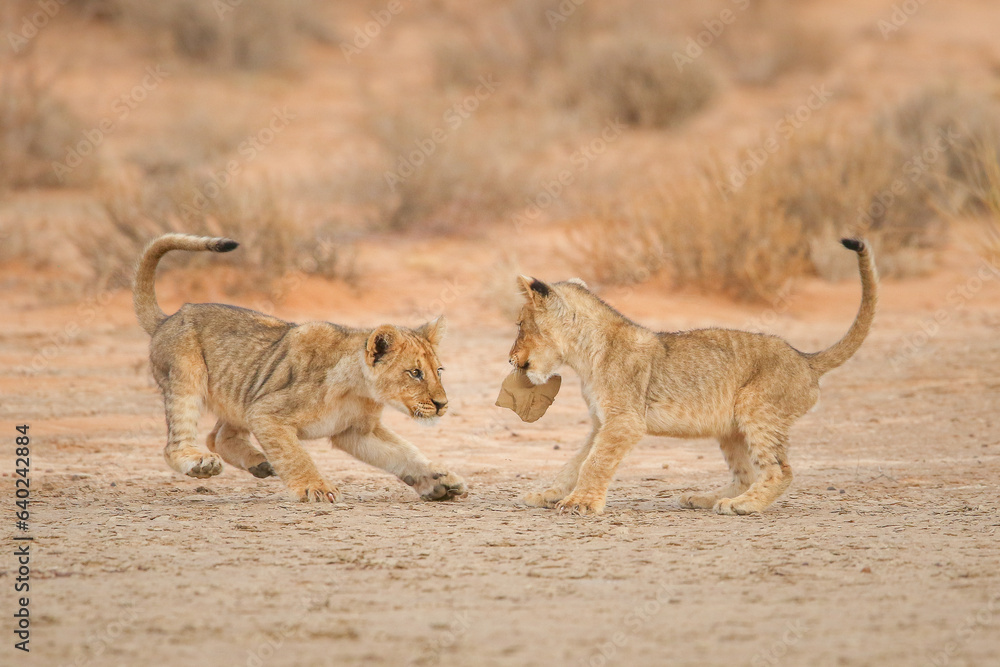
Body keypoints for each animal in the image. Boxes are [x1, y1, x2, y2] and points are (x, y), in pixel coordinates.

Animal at [133, 233, 467, 503]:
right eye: (415, 373)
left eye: (438, 371)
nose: (442, 404)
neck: (359, 391)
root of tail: (167, 318)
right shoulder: (267, 412)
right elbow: (295, 455)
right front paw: (316, 488)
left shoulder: (357, 432)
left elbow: (404, 452)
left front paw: (439, 481)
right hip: (188, 376)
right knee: (176, 443)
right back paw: (202, 463)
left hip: (245, 390)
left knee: (219, 436)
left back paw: (259, 462)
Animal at [508, 239, 877, 516]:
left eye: (520, 325)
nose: (510, 359)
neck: (583, 355)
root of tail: (804, 358)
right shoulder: (602, 422)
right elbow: (575, 461)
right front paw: (549, 494)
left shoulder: (624, 420)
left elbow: (595, 461)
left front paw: (580, 504)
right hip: (731, 428)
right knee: (746, 473)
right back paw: (705, 498)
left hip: (757, 409)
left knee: (780, 470)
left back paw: (742, 506)